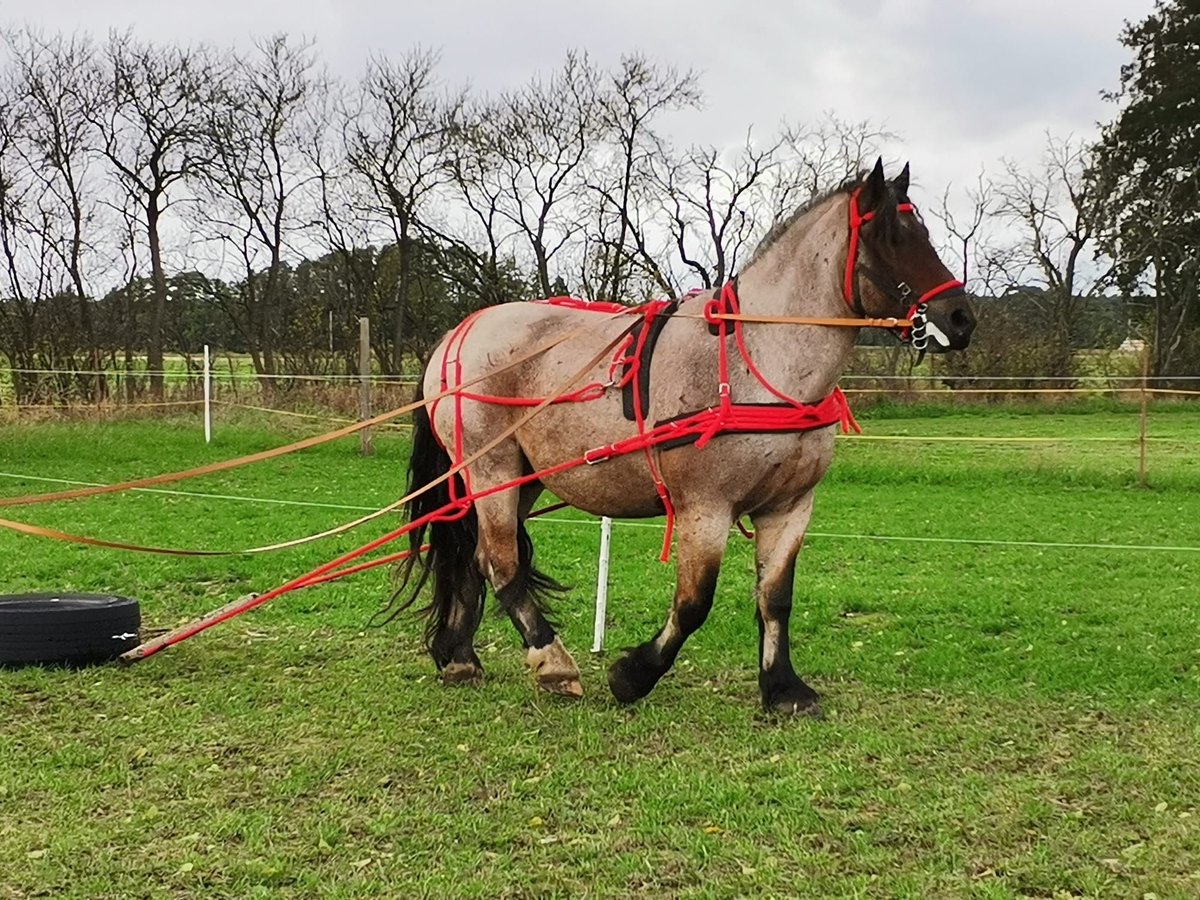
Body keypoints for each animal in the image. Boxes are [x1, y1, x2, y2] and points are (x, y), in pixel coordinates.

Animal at [393, 158, 974, 715]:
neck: (754, 360)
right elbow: (695, 603)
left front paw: (783, 688)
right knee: (501, 561)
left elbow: (775, 599)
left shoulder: (789, 507)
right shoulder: (705, 508)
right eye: (889, 235)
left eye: (923, 231)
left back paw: (459, 656)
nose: (961, 318)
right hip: (490, 470)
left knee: (474, 557)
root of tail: (460, 332)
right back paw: (551, 660)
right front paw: (632, 676)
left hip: (522, 476)